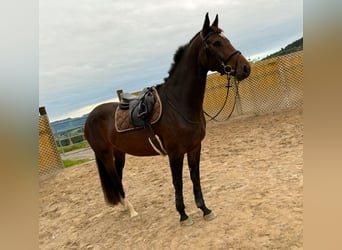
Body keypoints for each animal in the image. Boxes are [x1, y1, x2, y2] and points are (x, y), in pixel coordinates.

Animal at [84, 12, 250, 226]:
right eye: (216, 43)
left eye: (226, 40)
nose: (245, 68)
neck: (178, 105)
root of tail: (90, 117)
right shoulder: (175, 153)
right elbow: (177, 181)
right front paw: (183, 215)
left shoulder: (195, 148)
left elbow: (195, 178)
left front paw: (205, 209)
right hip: (105, 155)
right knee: (115, 179)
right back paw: (132, 211)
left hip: (119, 153)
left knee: (118, 178)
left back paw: (124, 207)